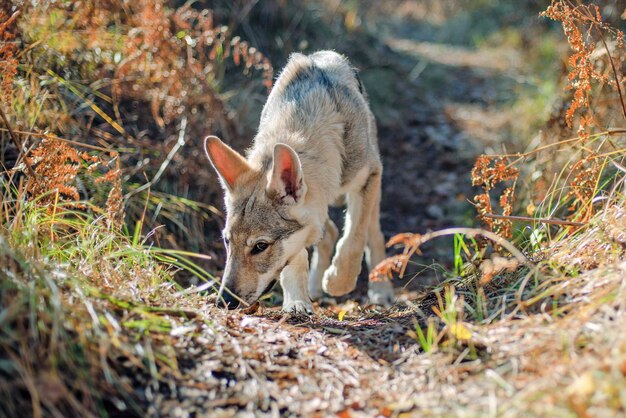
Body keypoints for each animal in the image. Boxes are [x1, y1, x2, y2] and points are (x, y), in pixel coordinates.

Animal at [204, 49, 390, 314]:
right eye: (227, 242)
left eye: (260, 246)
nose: (224, 302)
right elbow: (296, 261)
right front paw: (297, 302)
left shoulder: (368, 177)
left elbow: (353, 239)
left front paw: (338, 282)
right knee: (329, 233)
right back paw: (313, 288)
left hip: (372, 188)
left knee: (373, 234)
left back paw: (381, 290)